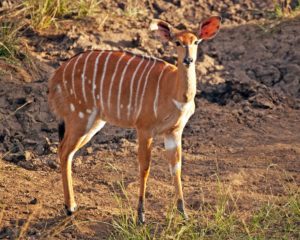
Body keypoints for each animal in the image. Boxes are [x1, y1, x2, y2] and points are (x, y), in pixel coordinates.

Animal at [48, 16, 220, 223]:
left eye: (196, 42)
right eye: (177, 42)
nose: (188, 59)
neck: (174, 91)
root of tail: (55, 77)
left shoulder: (174, 131)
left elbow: (176, 167)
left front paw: (184, 214)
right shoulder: (144, 129)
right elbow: (145, 168)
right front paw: (140, 215)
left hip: (94, 122)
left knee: (67, 152)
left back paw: (71, 206)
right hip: (80, 117)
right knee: (64, 150)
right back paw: (70, 207)